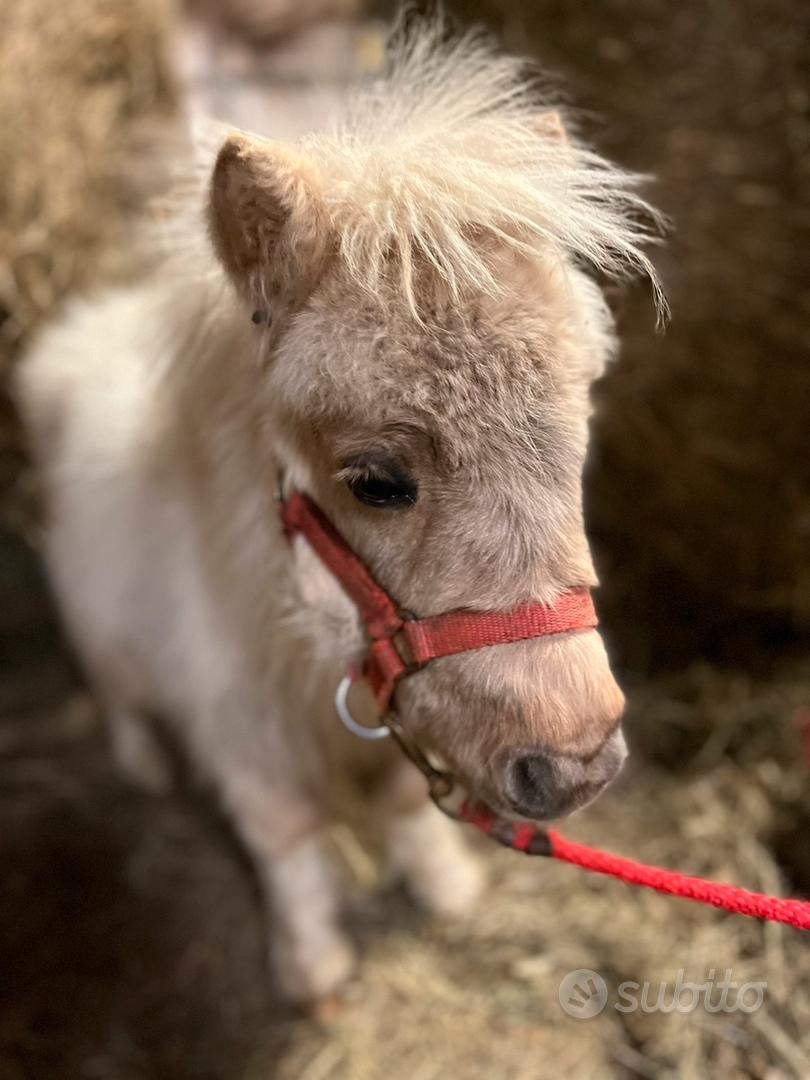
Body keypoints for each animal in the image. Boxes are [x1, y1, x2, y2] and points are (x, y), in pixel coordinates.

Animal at [17, 21, 665, 1002]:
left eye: (576, 440)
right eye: (374, 480)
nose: (577, 764)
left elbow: (407, 808)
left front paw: (444, 888)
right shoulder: (244, 732)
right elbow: (285, 838)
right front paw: (313, 964)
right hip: (97, 631)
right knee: (118, 692)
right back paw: (144, 764)